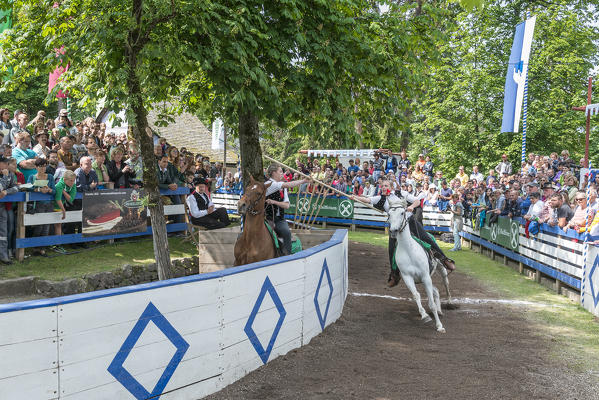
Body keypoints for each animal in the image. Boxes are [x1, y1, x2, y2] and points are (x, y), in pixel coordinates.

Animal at [386, 198, 448, 332]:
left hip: (439, 269)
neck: (409, 251)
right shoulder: (408, 277)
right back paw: (440, 310)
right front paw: (424, 315)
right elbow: (416, 295)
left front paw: (439, 326)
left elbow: (431, 304)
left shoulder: (425, 276)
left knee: (445, 282)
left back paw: (448, 302)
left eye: (402, 213)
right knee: (436, 291)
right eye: (389, 214)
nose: (393, 231)